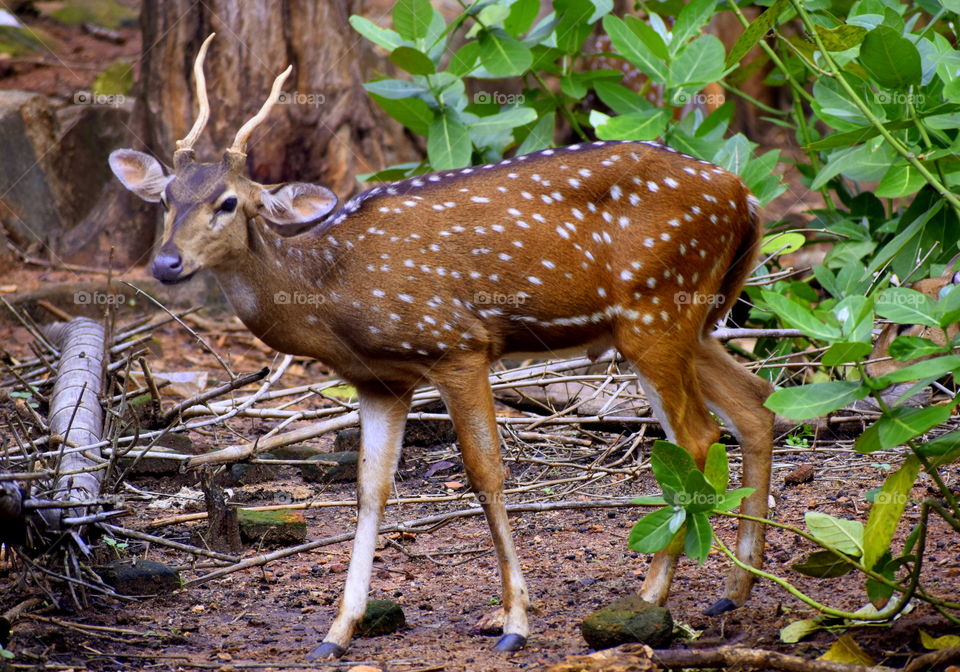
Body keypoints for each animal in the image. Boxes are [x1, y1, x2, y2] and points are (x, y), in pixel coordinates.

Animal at [109, 35, 774, 660]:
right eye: (165, 198)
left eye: (228, 202)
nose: (166, 263)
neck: (331, 292)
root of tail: (746, 195)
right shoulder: (381, 379)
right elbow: (369, 490)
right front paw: (336, 632)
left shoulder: (458, 345)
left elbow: (486, 474)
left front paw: (515, 623)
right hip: (686, 320)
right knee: (756, 403)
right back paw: (733, 590)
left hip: (656, 308)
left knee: (698, 433)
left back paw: (652, 594)